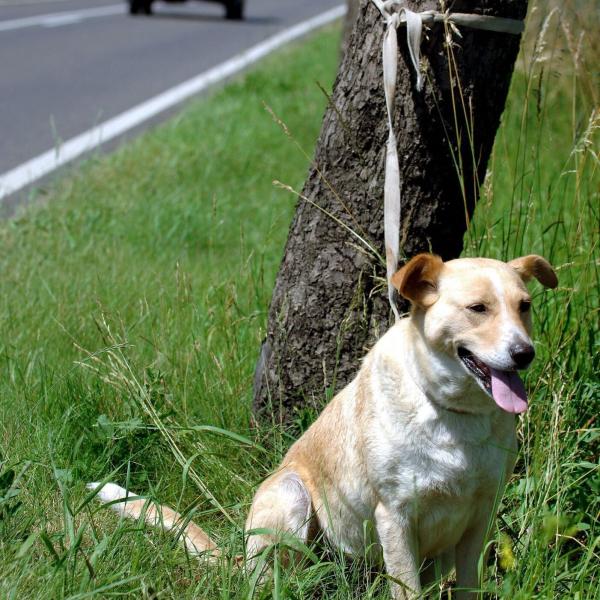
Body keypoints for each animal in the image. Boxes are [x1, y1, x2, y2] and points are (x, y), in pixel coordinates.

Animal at [89, 254, 556, 600]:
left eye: (525, 305)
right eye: (478, 308)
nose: (525, 353)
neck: (453, 413)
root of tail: (238, 558)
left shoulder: (479, 517)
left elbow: (468, 584)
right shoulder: (395, 517)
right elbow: (407, 589)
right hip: (291, 495)